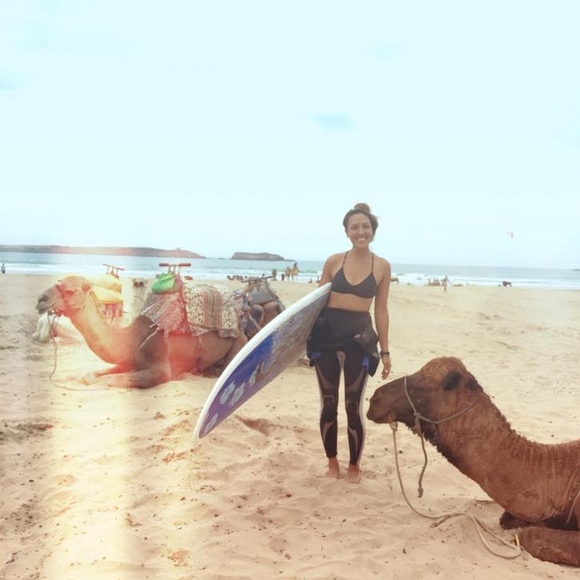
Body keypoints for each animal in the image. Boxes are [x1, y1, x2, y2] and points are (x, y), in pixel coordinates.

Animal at [36, 276, 247, 388]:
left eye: (70, 290)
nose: (41, 299)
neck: (134, 337)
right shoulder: (128, 360)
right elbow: (90, 374)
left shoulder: (160, 365)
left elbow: (115, 380)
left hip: (239, 342)